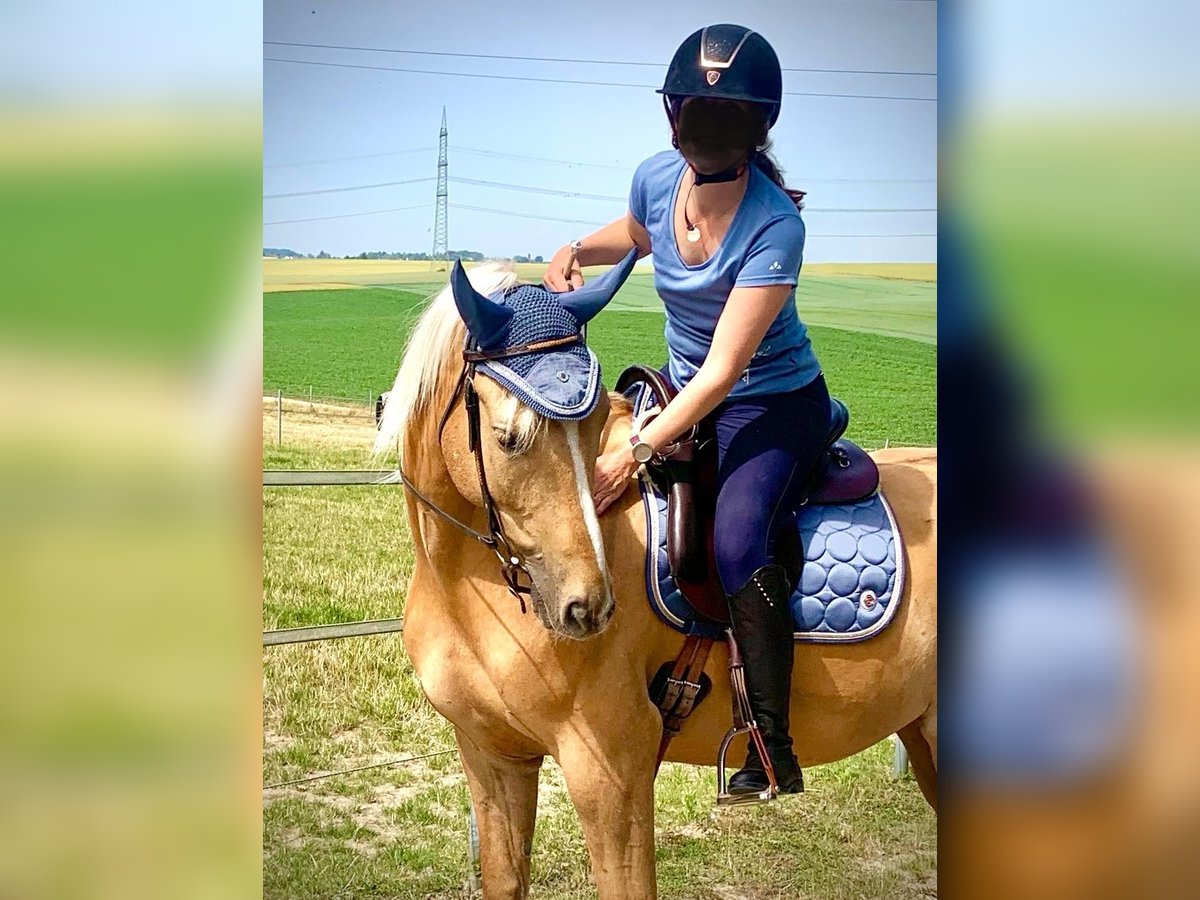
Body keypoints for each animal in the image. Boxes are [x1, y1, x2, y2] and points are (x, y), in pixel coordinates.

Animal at [376, 264, 936, 900]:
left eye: (598, 425)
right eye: (508, 436)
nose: (588, 607)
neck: (468, 592)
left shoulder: (611, 770)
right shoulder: (491, 754)